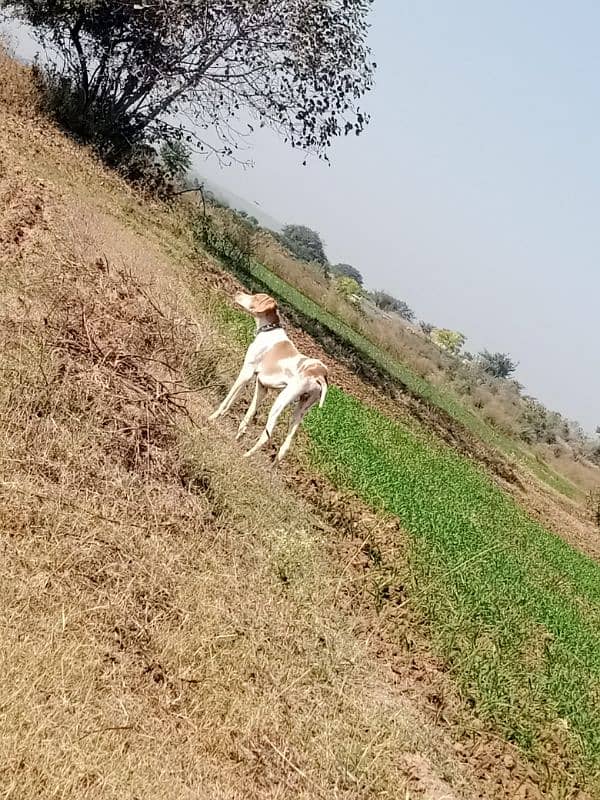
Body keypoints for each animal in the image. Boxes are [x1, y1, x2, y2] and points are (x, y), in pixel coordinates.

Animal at [207, 290, 328, 460]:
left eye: (256, 297)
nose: (237, 292)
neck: (268, 330)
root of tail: (320, 375)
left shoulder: (247, 372)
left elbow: (228, 399)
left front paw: (213, 417)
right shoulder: (262, 387)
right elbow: (247, 411)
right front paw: (237, 435)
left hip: (280, 402)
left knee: (267, 434)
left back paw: (246, 455)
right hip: (300, 411)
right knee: (285, 447)